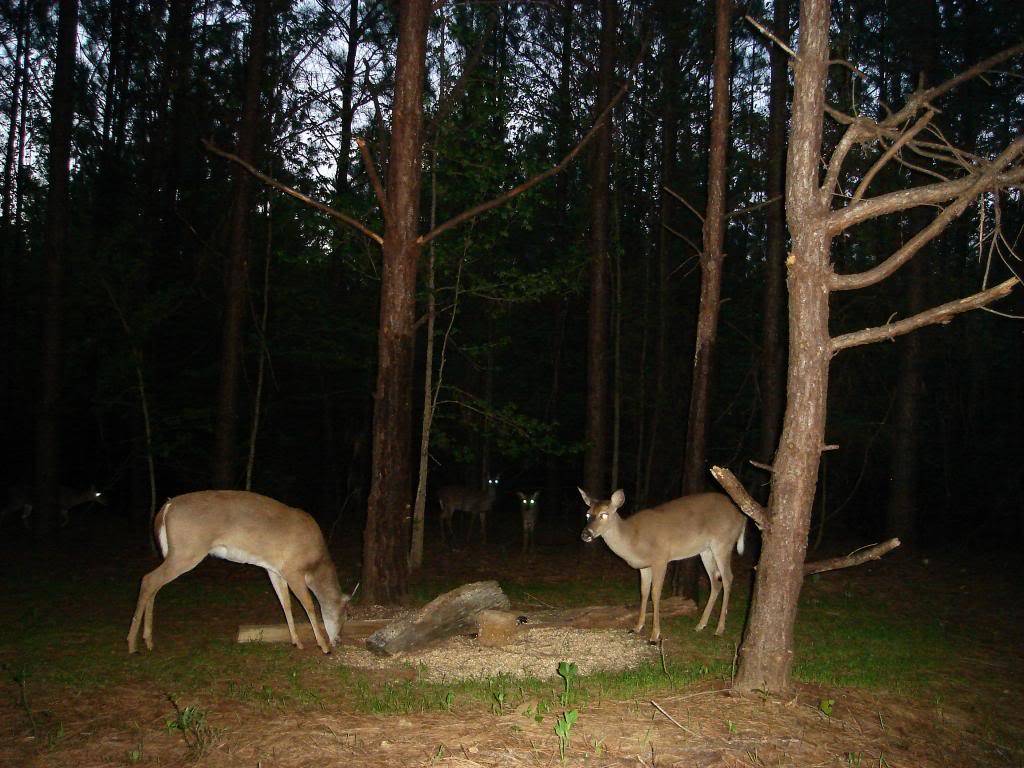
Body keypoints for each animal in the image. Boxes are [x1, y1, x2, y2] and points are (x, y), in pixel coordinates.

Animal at [126, 493, 352, 655]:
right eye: (346, 615)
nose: (338, 640)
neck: (315, 565)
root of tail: (166, 507)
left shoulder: (274, 569)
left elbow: (285, 603)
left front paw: (296, 641)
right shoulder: (293, 569)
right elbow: (309, 605)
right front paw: (323, 645)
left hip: (176, 553)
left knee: (154, 584)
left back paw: (148, 641)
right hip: (186, 551)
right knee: (148, 580)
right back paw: (132, 644)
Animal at [577, 487, 745, 643]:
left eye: (604, 514)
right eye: (587, 514)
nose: (585, 535)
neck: (633, 540)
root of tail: (742, 517)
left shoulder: (661, 558)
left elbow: (655, 593)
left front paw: (654, 635)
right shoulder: (644, 566)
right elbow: (643, 592)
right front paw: (637, 627)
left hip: (723, 542)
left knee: (728, 578)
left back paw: (719, 629)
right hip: (706, 550)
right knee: (715, 581)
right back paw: (700, 625)